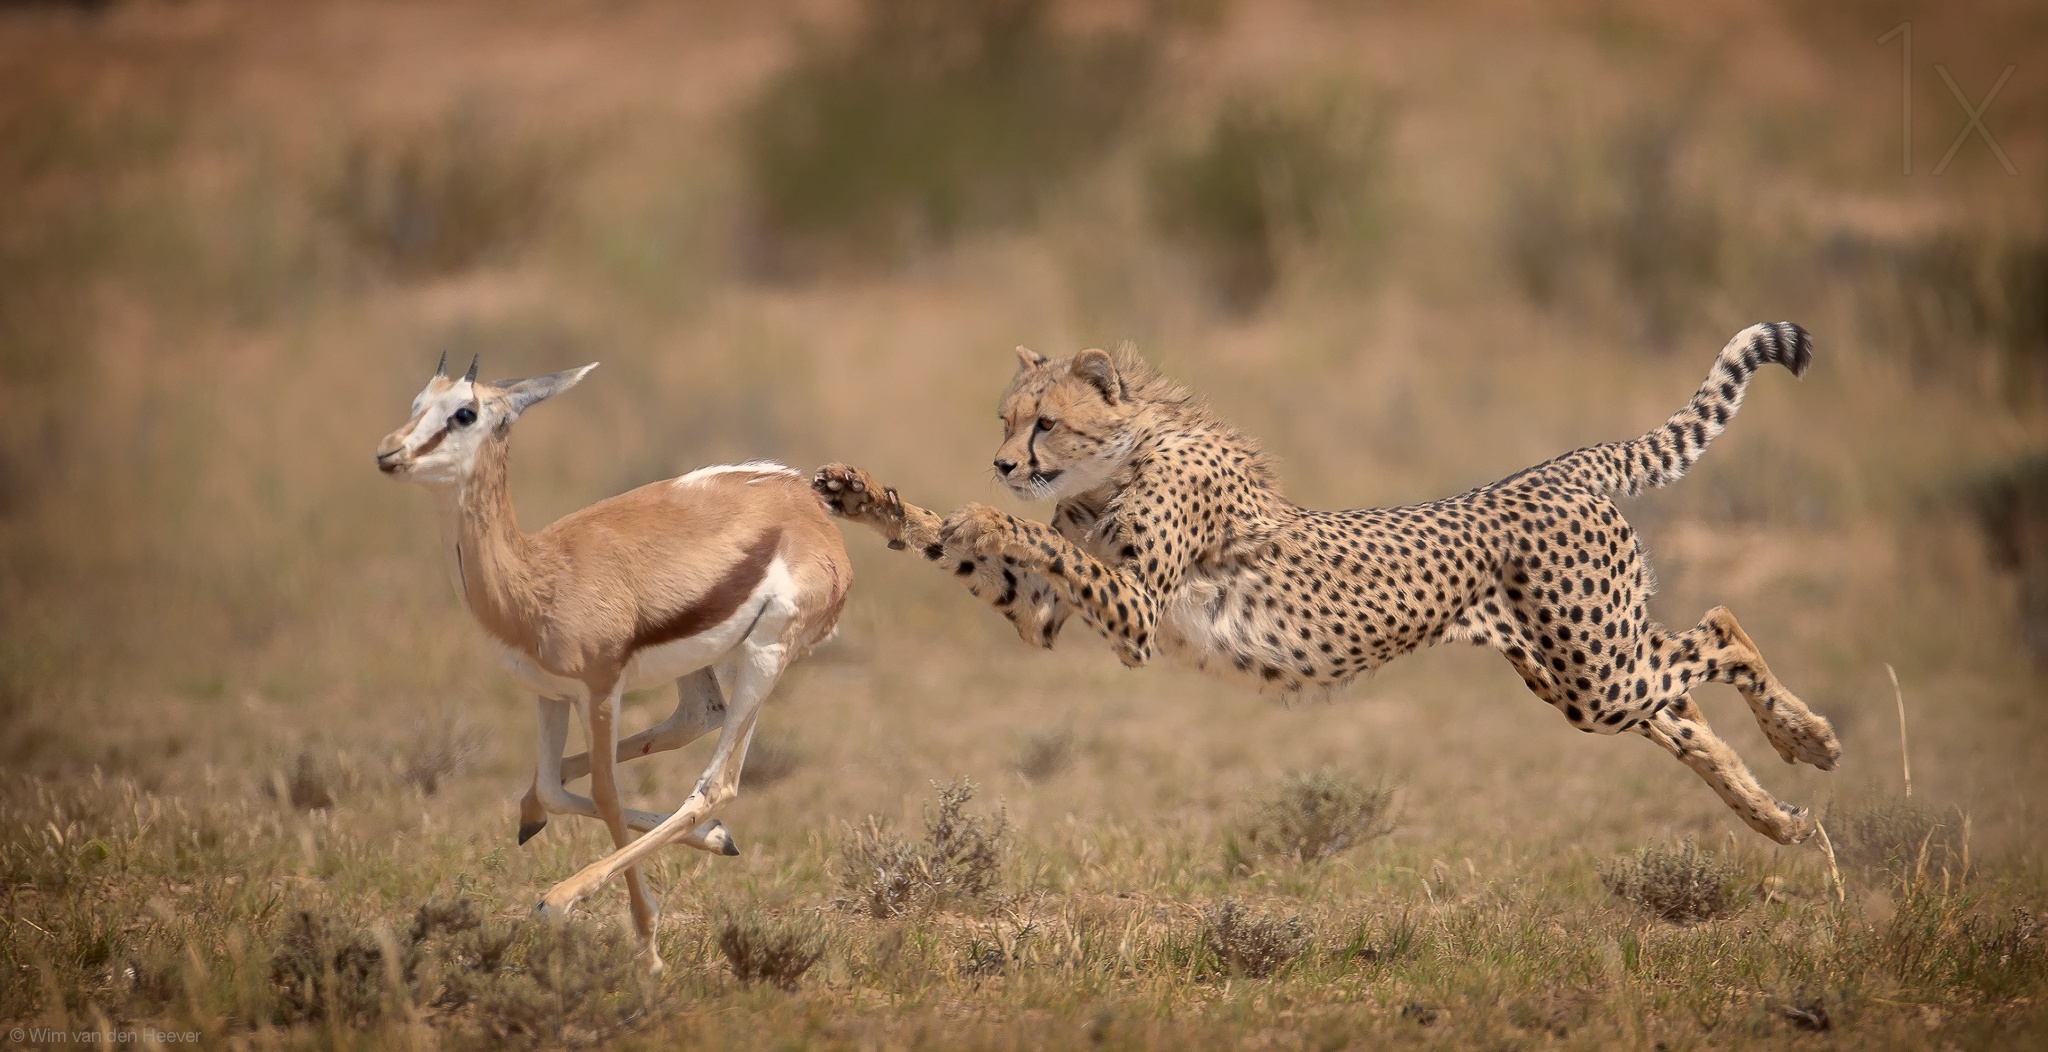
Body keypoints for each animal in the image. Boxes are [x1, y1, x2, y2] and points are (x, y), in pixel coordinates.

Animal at [815, 323, 1843, 839]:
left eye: (1044, 425)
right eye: (1004, 419)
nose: (1000, 466)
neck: (1118, 462)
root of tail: (1556, 467)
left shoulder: (1140, 613)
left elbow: (1034, 541)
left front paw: (985, 517)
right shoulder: (1048, 614)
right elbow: (972, 552)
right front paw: (867, 495)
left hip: (1595, 666)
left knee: (1722, 627)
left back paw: (1808, 737)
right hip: (1581, 675)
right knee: (1684, 703)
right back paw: (1779, 820)